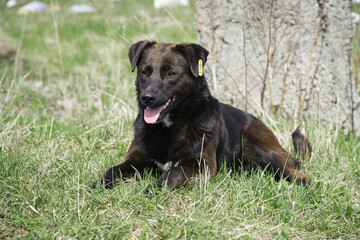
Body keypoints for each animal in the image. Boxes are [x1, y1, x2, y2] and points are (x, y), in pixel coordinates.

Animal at [94, 40, 310, 189]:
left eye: (171, 73)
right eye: (144, 72)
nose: (147, 98)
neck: (171, 126)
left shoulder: (202, 167)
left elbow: (174, 171)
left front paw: (154, 188)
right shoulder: (135, 160)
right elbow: (112, 170)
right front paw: (97, 186)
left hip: (256, 146)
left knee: (297, 173)